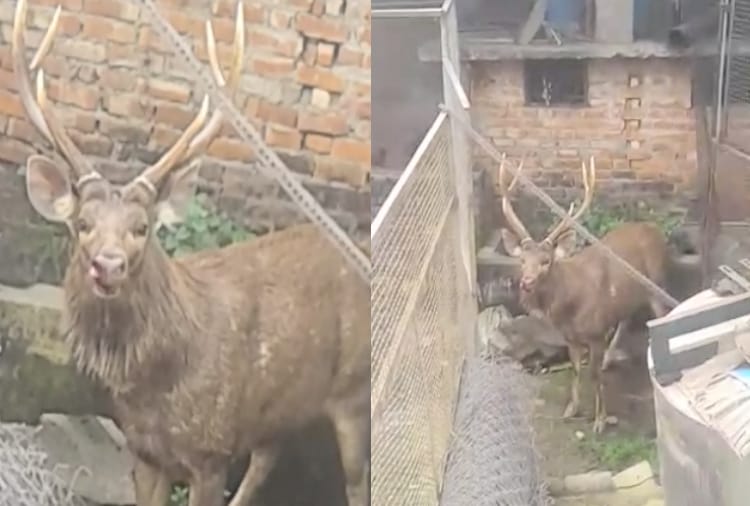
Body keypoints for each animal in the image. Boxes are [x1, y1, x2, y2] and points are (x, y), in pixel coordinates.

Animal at [12, 1, 370, 505]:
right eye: (82, 224)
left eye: (142, 228)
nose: (108, 265)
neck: (154, 387)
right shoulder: (144, 452)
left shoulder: (211, 450)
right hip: (277, 409)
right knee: (268, 456)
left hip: (353, 390)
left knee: (357, 480)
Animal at [496, 155, 671, 433]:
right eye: (522, 260)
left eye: (546, 261)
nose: (526, 283)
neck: (571, 306)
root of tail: (654, 229)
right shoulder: (570, 337)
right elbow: (576, 370)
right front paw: (571, 409)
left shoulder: (596, 333)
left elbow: (593, 374)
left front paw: (600, 421)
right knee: (626, 316)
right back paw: (610, 358)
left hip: (657, 282)